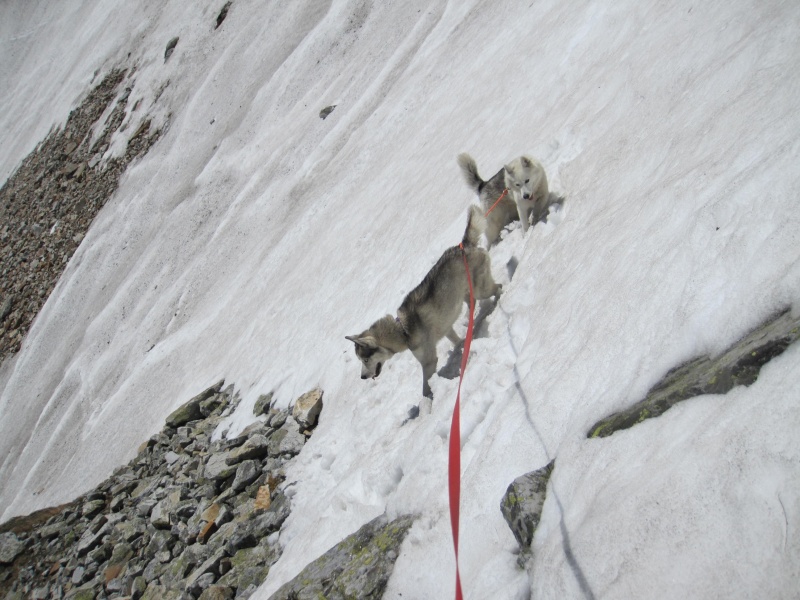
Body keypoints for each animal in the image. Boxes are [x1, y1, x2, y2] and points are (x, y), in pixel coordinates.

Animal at [346, 205, 500, 398]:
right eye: (360, 359)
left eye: (365, 359)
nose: (363, 377)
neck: (403, 330)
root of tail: (463, 246)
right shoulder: (446, 329)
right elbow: (456, 339)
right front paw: (463, 345)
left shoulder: (428, 361)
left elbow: (425, 387)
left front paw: (427, 402)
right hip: (465, 292)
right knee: (471, 301)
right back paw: (469, 318)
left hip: (481, 290)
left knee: (498, 288)